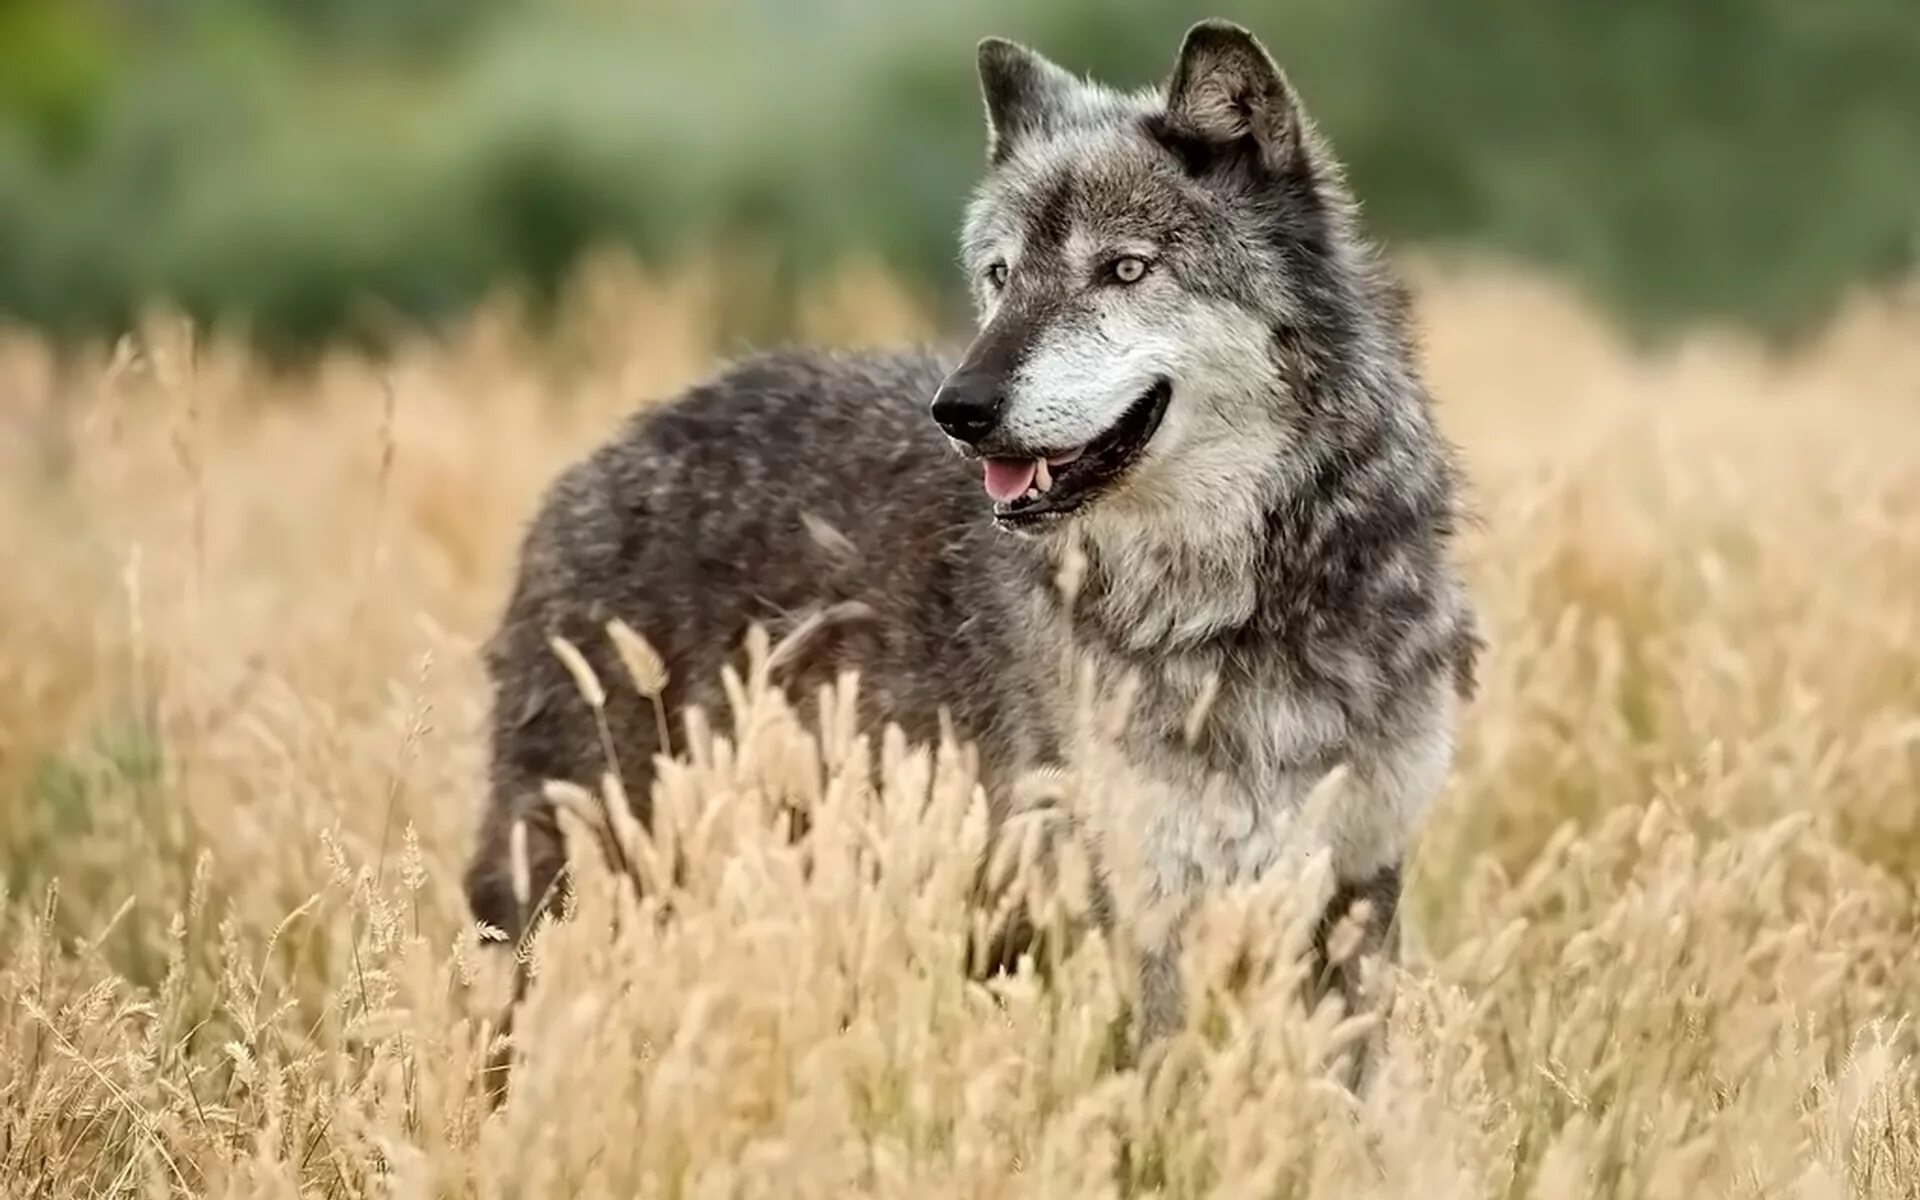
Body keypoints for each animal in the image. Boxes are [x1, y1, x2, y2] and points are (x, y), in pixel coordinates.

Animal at [468, 16, 1482, 1067]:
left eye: (1124, 269)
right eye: (1000, 276)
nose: (960, 408)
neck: (1239, 602)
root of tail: (597, 462)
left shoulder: (1355, 886)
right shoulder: (1144, 906)